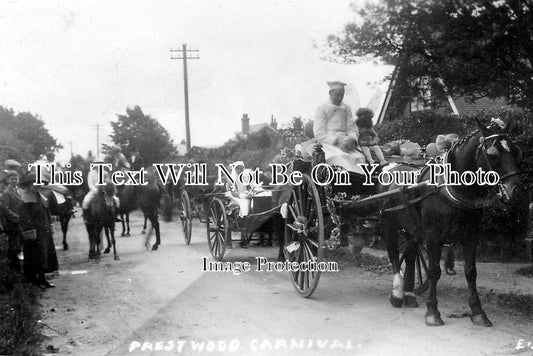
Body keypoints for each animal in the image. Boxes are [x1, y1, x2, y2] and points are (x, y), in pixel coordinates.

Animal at [378, 121, 524, 326]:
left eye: (516, 151)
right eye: (492, 153)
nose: (517, 191)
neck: (453, 187)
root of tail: (391, 167)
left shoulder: (471, 236)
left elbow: (471, 272)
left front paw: (478, 312)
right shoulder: (433, 236)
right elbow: (434, 272)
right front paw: (432, 312)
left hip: (412, 229)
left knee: (410, 254)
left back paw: (409, 294)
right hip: (389, 223)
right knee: (393, 255)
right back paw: (397, 294)